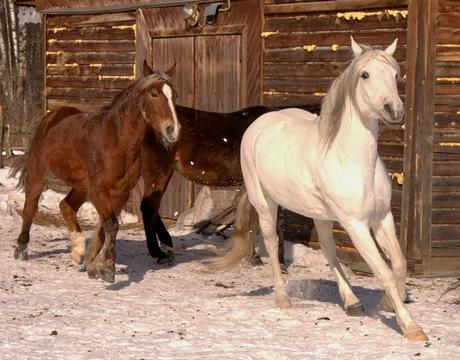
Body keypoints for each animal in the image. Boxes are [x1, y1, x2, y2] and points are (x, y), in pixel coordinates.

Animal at [9, 69, 180, 284]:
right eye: (154, 94)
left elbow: (105, 227)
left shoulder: (120, 192)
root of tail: (53, 116)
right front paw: (107, 269)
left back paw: (78, 251)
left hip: (82, 186)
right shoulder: (99, 191)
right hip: (38, 172)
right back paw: (21, 250)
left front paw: (94, 264)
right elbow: (111, 224)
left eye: (175, 95)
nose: (173, 131)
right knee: (30, 208)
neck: (116, 142)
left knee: (66, 205)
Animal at [211, 38, 428, 342]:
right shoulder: (356, 225)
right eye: (365, 75)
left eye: (396, 75)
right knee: (272, 243)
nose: (393, 110)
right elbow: (383, 270)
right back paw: (283, 299)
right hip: (265, 203)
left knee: (328, 250)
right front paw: (411, 327)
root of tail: (260, 125)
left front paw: (389, 302)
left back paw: (352, 302)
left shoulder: (382, 218)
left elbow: (398, 263)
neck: (355, 161)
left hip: (320, 215)